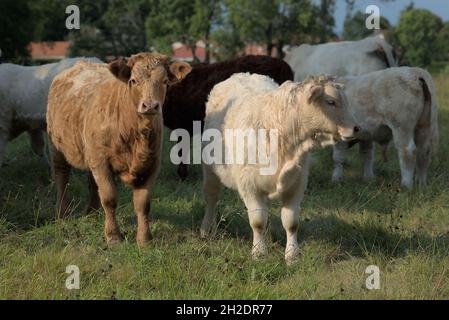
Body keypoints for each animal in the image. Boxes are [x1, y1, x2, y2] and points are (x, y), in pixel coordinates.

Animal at [200, 73, 356, 264]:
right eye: (331, 101)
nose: (356, 128)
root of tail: (240, 74)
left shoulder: (297, 183)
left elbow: (291, 222)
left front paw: (292, 255)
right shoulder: (249, 186)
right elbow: (258, 221)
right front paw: (259, 252)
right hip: (210, 171)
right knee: (211, 199)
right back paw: (207, 229)